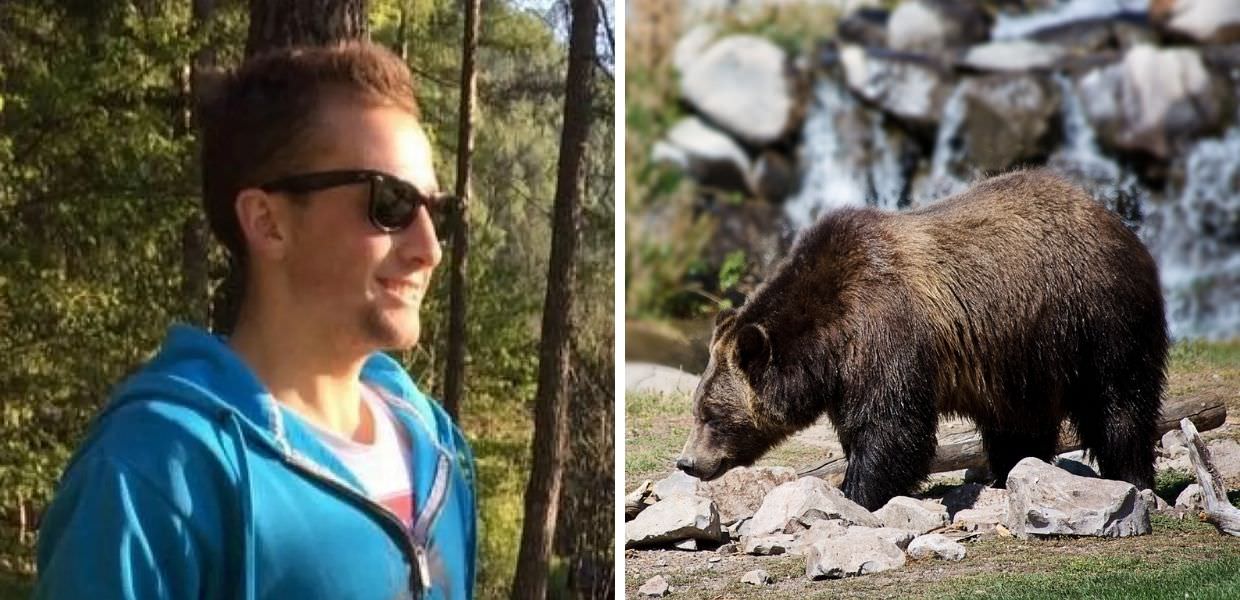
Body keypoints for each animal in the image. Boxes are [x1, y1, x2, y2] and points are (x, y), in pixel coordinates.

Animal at [676, 169, 1167, 511]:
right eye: (697, 409)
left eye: (711, 415)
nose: (687, 463)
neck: (828, 341)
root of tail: (1113, 218)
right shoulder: (848, 374)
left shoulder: (884, 332)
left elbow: (892, 428)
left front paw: (855, 493)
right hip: (1023, 353)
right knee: (1019, 421)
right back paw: (1011, 472)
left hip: (1095, 316)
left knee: (1118, 401)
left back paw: (1132, 476)